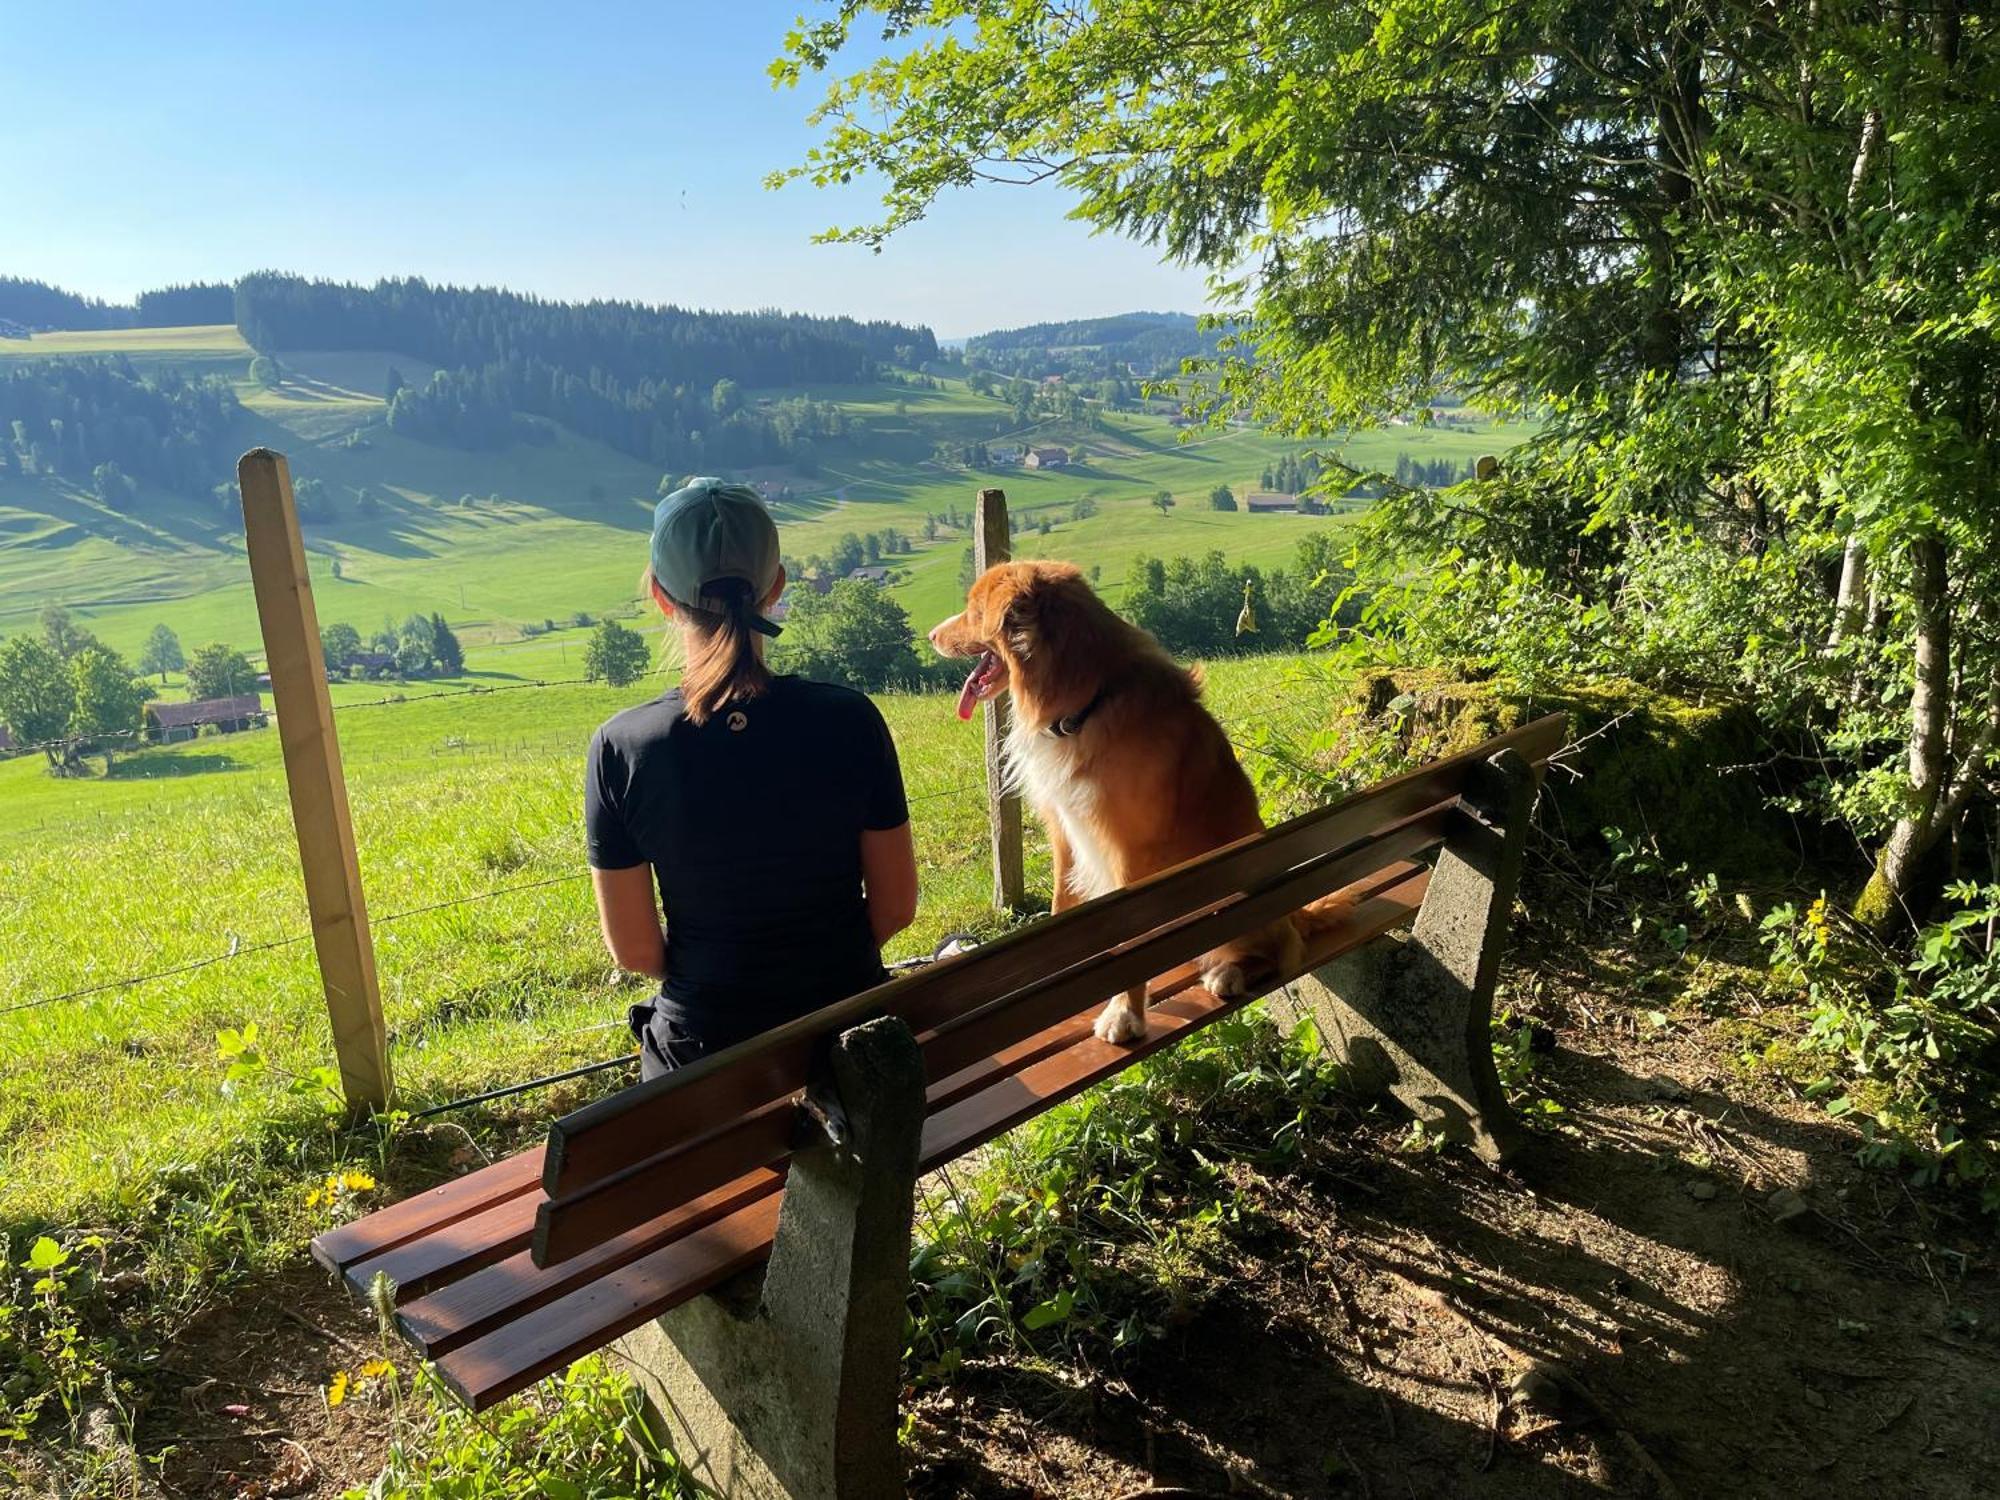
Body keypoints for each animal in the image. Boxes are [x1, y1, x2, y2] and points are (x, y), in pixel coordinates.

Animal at [932, 564, 1344, 1048]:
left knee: (1275, 949)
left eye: (974, 610)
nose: (931, 634)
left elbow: (1130, 943)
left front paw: (1124, 1013)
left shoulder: (1129, 852)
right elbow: (1061, 908)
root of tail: (1299, 909)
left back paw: (1227, 972)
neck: (1084, 704)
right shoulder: (1065, 833)